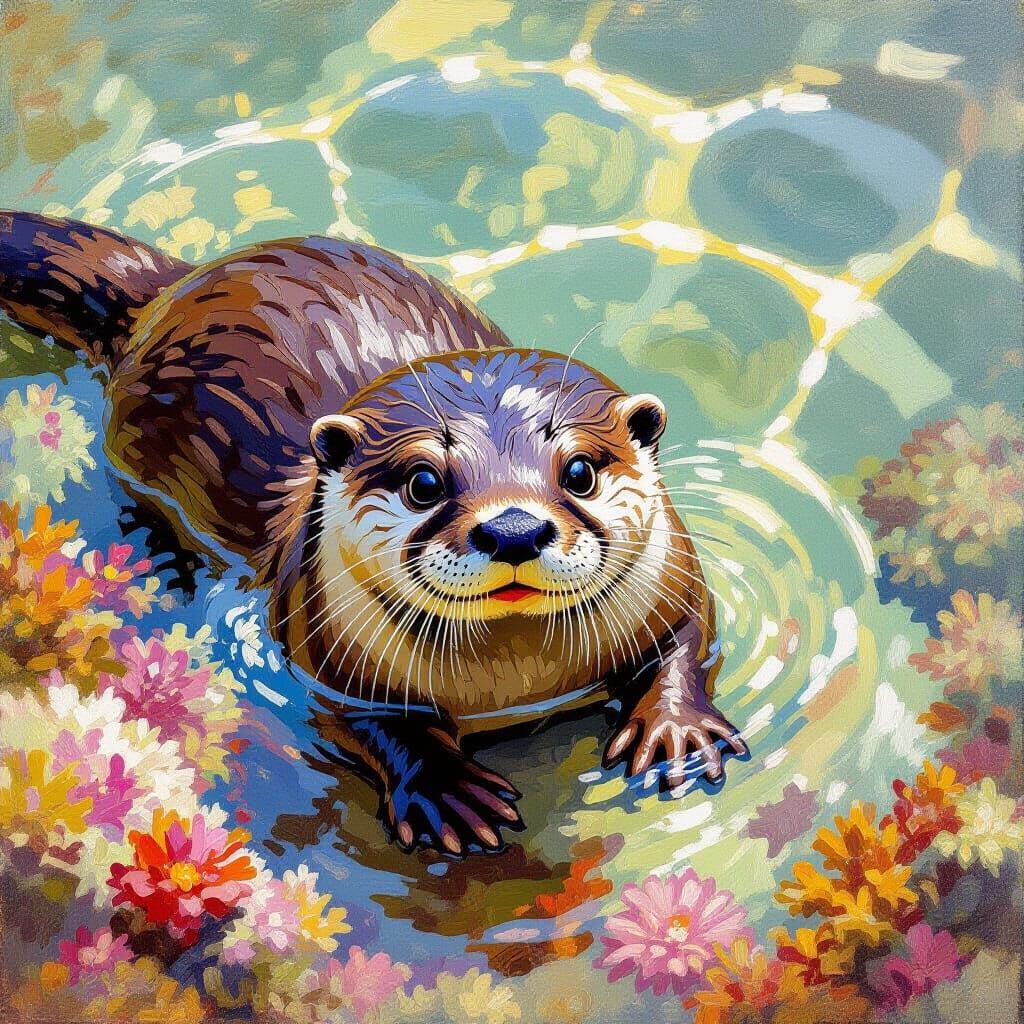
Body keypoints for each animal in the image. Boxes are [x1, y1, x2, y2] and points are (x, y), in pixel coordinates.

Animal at [0, 212, 747, 855]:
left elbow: (691, 637)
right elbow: (376, 725)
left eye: (581, 471)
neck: (521, 685)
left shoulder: (676, 583)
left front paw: (678, 726)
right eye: (424, 482)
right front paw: (444, 790)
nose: (513, 529)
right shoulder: (326, 660)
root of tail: (172, 286)